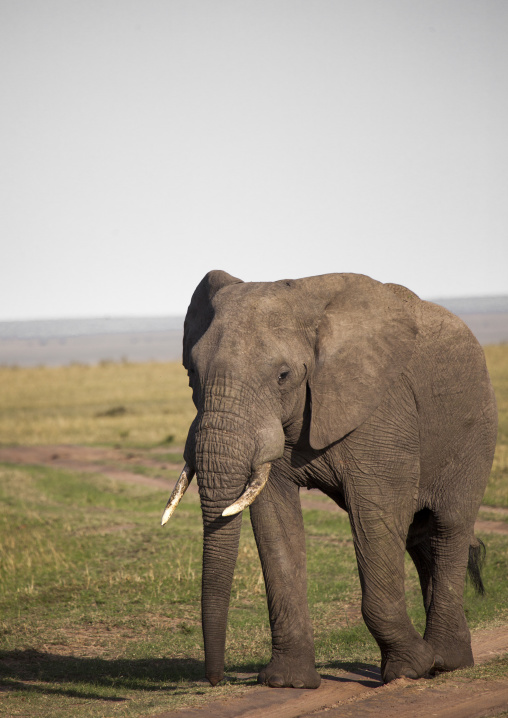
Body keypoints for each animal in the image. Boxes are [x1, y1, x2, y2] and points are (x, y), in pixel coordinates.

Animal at [161, 270, 497, 689]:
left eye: (283, 376)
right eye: (191, 373)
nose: (214, 680)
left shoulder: (382, 409)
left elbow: (377, 513)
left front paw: (408, 669)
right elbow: (274, 520)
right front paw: (287, 682)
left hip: (475, 429)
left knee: (448, 527)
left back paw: (446, 662)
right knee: (420, 538)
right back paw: (439, 658)